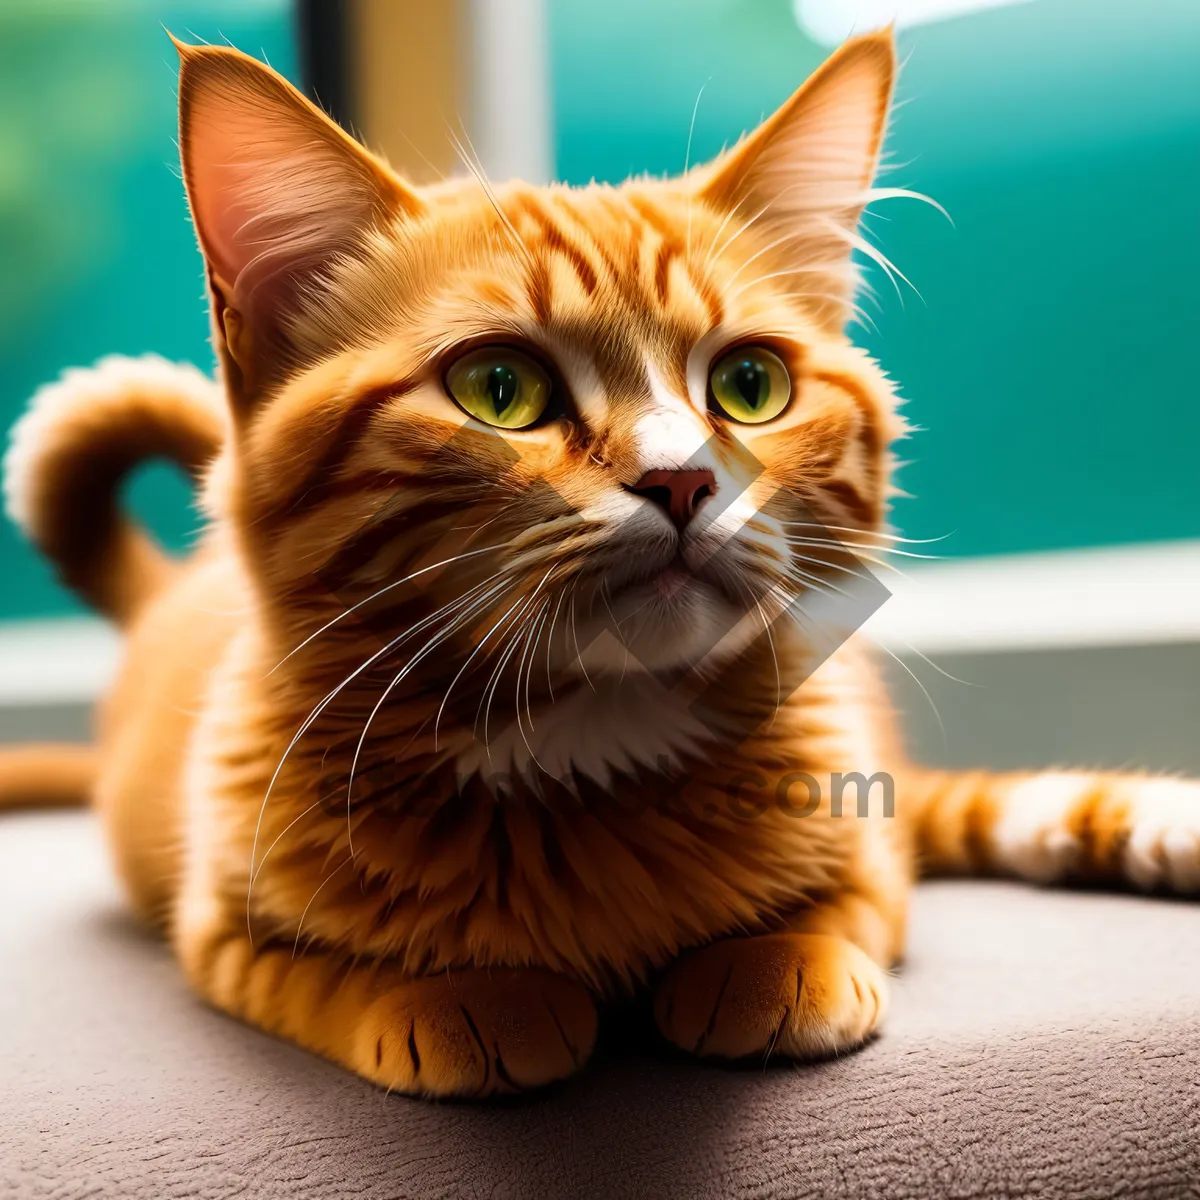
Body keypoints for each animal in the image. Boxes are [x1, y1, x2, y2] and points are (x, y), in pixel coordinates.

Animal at [0, 30, 1195, 1099]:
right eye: (499, 390)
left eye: (750, 385)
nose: (683, 481)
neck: (594, 735)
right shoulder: (218, 930)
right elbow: (330, 975)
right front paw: (469, 996)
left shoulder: (874, 864)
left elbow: (840, 908)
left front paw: (769, 961)